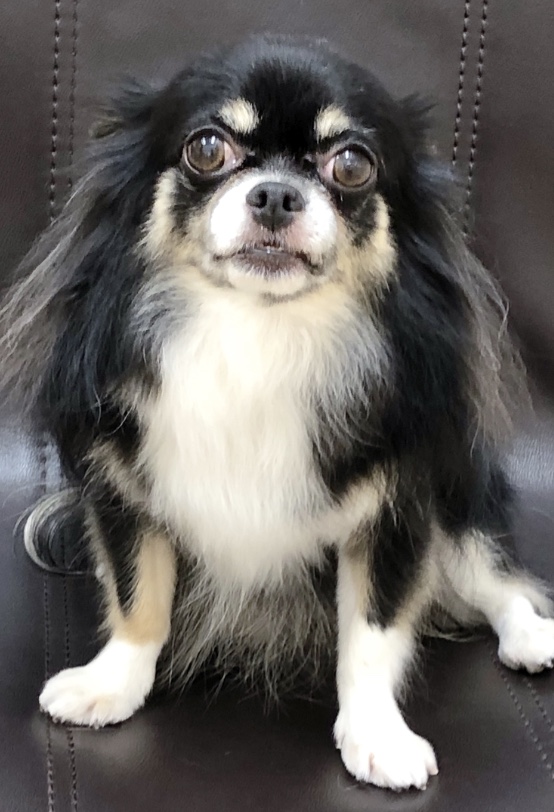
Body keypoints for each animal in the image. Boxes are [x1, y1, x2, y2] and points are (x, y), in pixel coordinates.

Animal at [2, 34, 553, 791]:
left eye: (351, 164)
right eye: (207, 148)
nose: (276, 193)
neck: (258, 333)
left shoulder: (400, 509)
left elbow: (372, 632)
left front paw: (376, 734)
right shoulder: (125, 491)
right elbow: (139, 599)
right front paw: (111, 684)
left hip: (462, 500)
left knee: (495, 577)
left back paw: (533, 636)